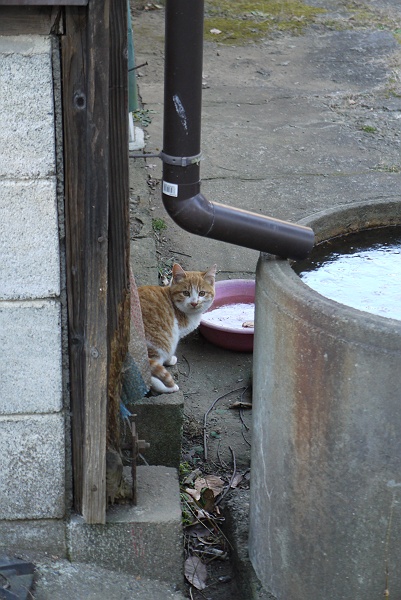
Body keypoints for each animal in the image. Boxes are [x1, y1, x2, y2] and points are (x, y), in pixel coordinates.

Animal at [139, 262, 217, 394]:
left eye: (202, 293)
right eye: (186, 293)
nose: (194, 303)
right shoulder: (174, 334)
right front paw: (170, 360)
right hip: (159, 342)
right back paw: (168, 388)